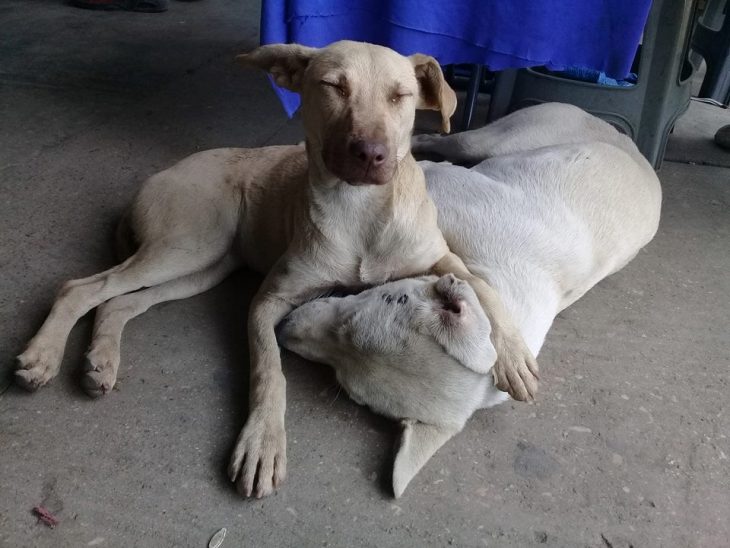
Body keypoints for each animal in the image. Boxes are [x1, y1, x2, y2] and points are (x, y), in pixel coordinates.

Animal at [276, 101, 664, 496]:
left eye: (344, 383)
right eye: (374, 303)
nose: (282, 329)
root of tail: (626, 141)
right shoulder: (444, 188)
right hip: (506, 136)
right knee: (448, 142)